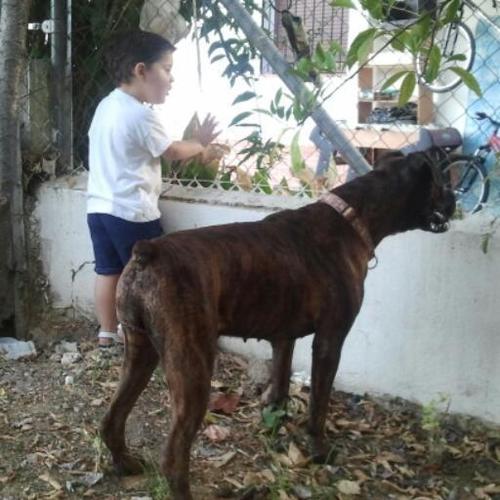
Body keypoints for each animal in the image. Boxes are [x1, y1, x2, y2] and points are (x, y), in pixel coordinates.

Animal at [101, 150, 458, 498]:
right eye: (442, 181)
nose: (455, 199)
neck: (352, 218)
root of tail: (149, 251)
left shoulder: (284, 337)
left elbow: (282, 378)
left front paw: (274, 416)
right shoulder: (330, 340)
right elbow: (319, 402)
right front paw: (319, 448)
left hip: (140, 350)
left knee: (112, 418)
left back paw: (125, 463)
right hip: (192, 367)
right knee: (173, 458)